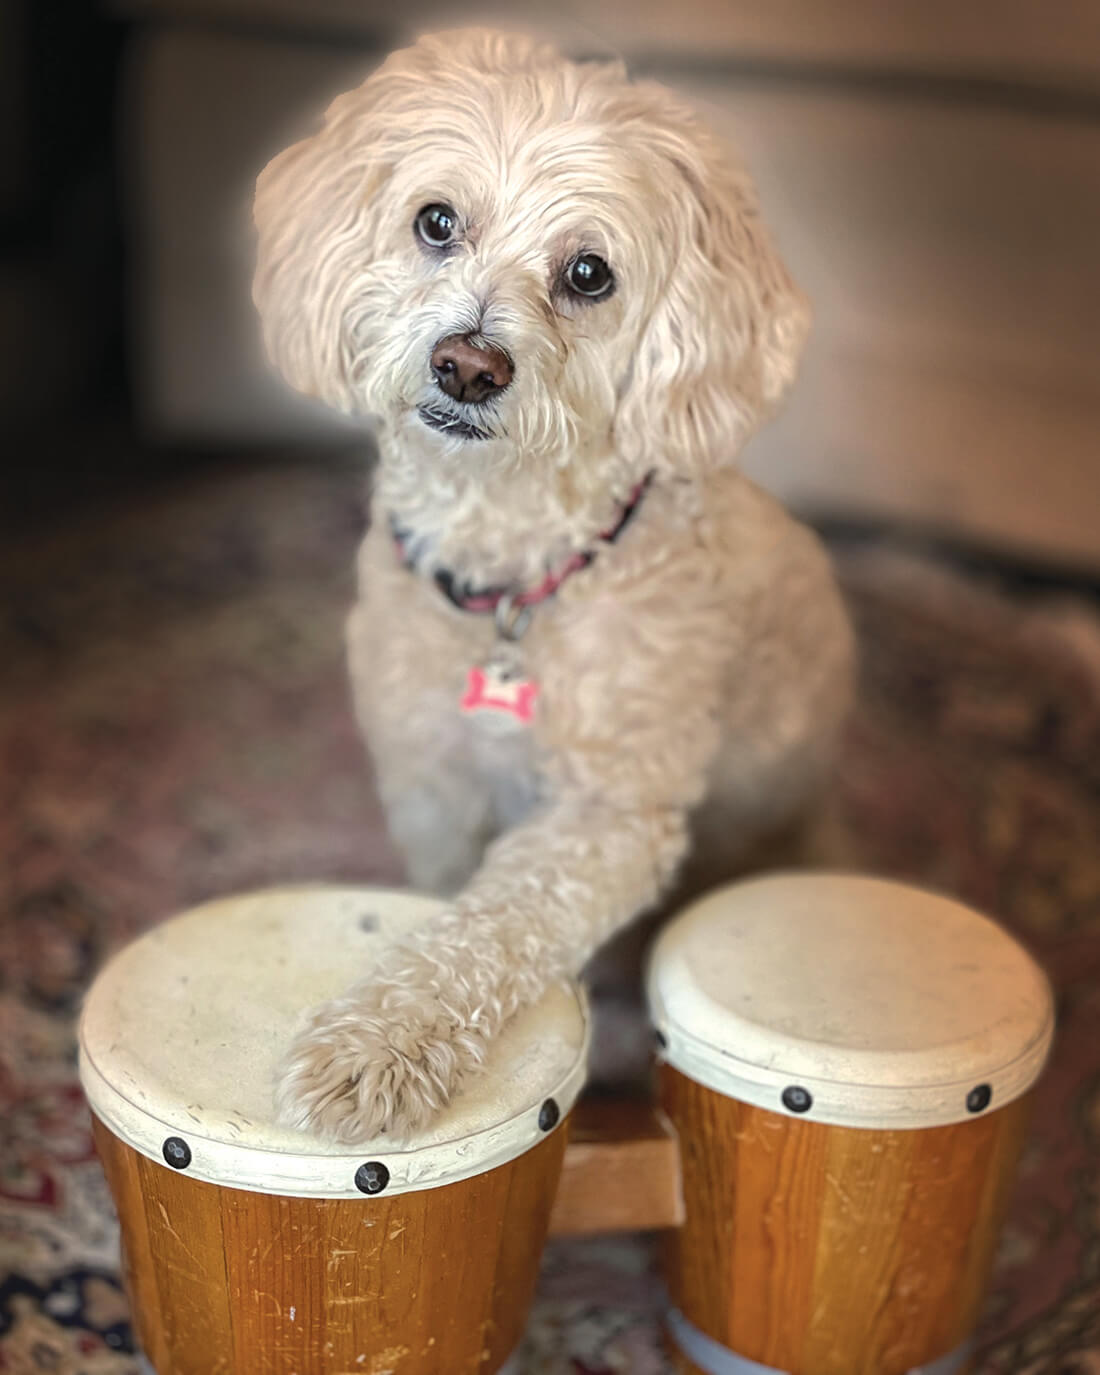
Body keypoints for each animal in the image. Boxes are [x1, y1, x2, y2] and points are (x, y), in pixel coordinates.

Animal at [253, 29, 852, 1138]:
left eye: (587, 273)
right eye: (436, 221)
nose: (467, 364)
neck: (511, 574)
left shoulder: (607, 817)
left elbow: (490, 926)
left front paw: (377, 1046)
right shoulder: (430, 780)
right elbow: (446, 896)